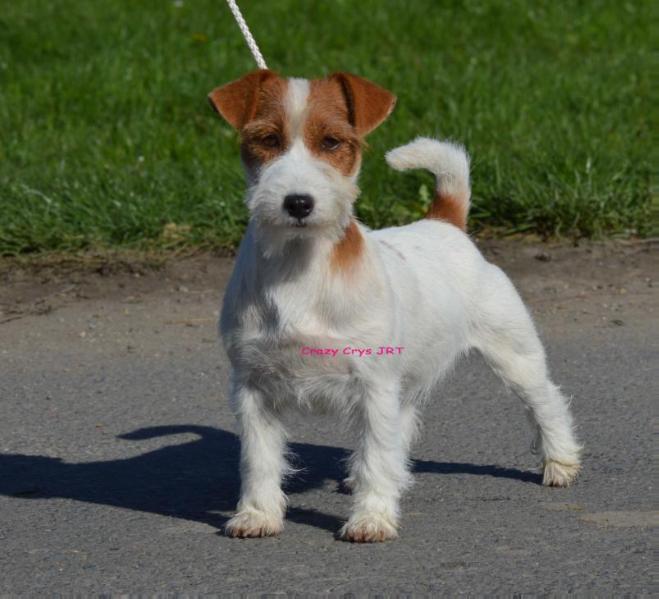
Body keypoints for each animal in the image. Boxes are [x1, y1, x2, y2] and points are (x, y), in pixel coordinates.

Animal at [208, 70, 584, 544]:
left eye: (332, 142)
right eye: (268, 139)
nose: (298, 202)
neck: (300, 267)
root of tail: (444, 222)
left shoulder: (372, 384)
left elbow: (375, 457)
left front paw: (370, 519)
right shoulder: (253, 387)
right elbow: (259, 460)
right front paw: (258, 514)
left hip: (514, 355)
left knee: (546, 402)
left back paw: (560, 462)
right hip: (403, 381)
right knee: (399, 430)